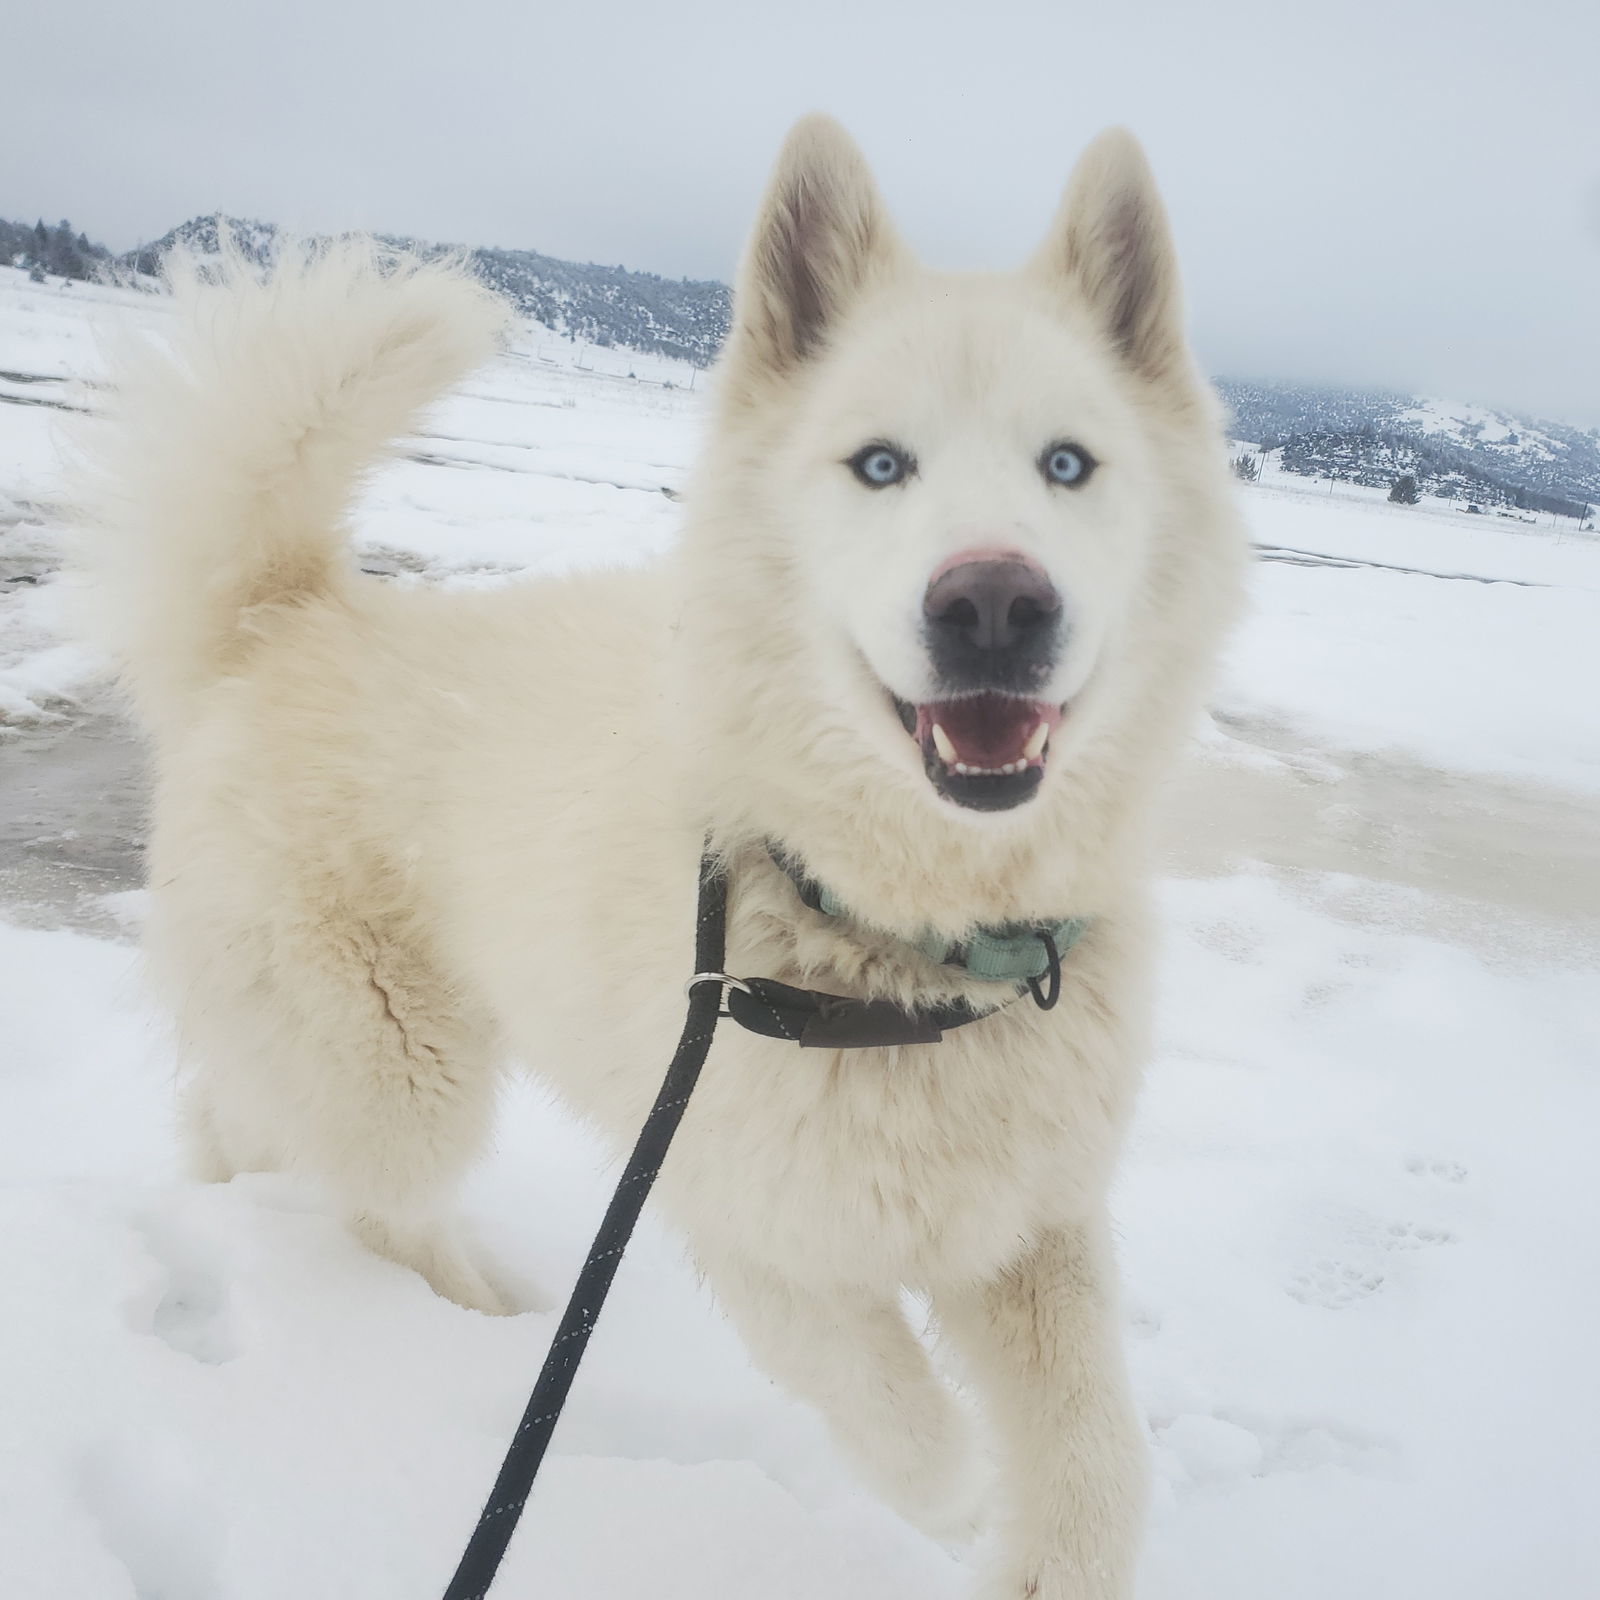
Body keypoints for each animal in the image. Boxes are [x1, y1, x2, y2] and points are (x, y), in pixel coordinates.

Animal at [75, 118, 1241, 1593]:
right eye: (879, 466)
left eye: (1070, 466)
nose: (993, 603)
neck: (906, 946)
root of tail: (281, 618)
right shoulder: (734, 1207)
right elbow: (882, 1393)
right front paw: (956, 1495)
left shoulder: (1036, 1222)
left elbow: (1096, 1452)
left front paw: (1048, 1551)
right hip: (401, 1065)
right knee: (380, 1205)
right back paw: (485, 1316)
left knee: (242, 1118)